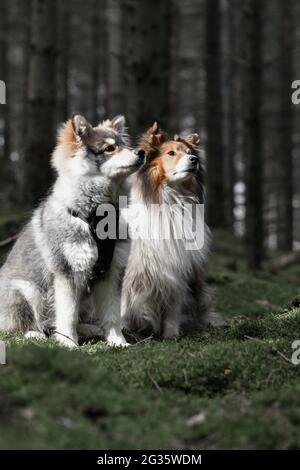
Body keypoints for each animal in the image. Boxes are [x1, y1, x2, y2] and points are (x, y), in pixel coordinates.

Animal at [0, 115, 144, 346]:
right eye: (109, 148)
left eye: (124, 145)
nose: (141, 152)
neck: (94, 217)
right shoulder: (67, 273)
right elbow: (68, 314)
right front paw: (68, 343)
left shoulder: (111, 273)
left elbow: (112, 314)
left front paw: (117, 341)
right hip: (27, 290)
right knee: (21, 324)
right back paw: (34, 333)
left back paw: (88, 329)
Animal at [120, 123, 219, 340]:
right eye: (171, 153)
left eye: (190, 153)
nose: (194, 160)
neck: (172, 203)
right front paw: (122, 331)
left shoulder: (179, 274)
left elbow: (174, 308)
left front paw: (171, 334)